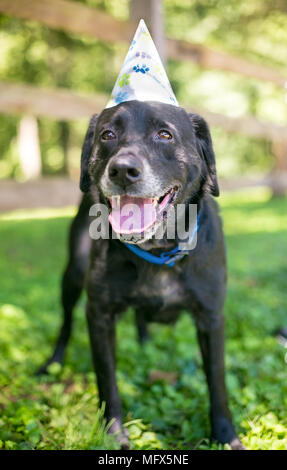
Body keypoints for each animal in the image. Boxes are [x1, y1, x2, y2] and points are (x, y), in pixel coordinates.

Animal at [39, 101, 244, 450]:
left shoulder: (211, 318)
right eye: (108, 135)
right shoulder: (99, 315)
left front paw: (225, 436)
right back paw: (53, 362)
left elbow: (217, 382)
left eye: (165, 134)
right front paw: (114, 435)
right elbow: (107, 383)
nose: (122, 170)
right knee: (66, 323)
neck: (157, 250)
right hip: (73, 274)